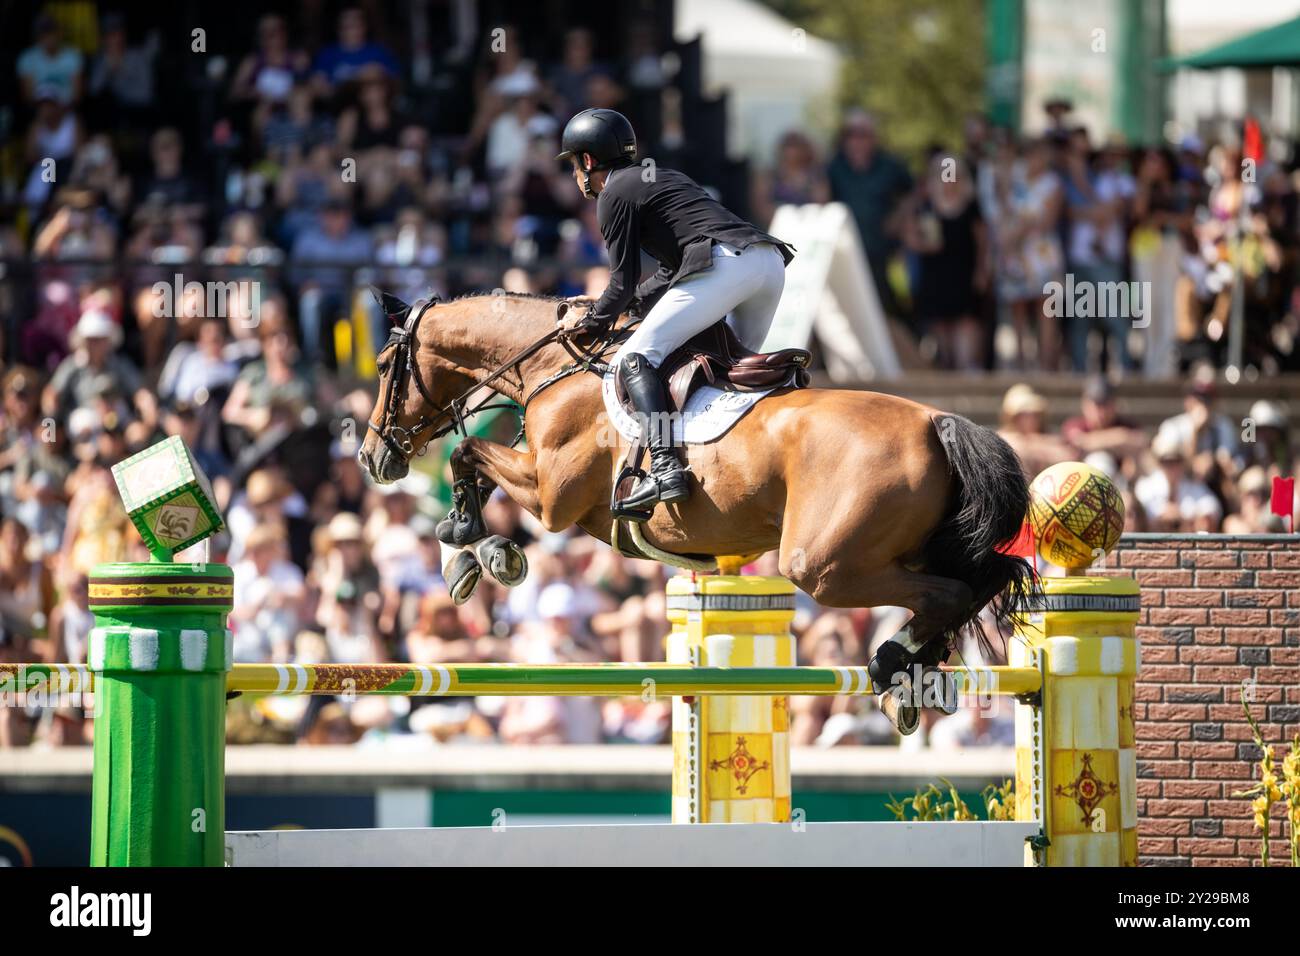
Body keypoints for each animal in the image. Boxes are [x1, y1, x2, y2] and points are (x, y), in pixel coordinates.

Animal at [361, 291, 1029, 717]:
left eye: (386, 364)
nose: (371, 456)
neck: (554, 367)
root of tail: (938, 421)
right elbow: (473, 463)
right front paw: (470, 551)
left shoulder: (552, 496)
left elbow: (467, 452)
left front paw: (478, 548)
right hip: (903, 551)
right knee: (985, 576)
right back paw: (910, 676)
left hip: (826, 566)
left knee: (950, 592)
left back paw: (893, 664)